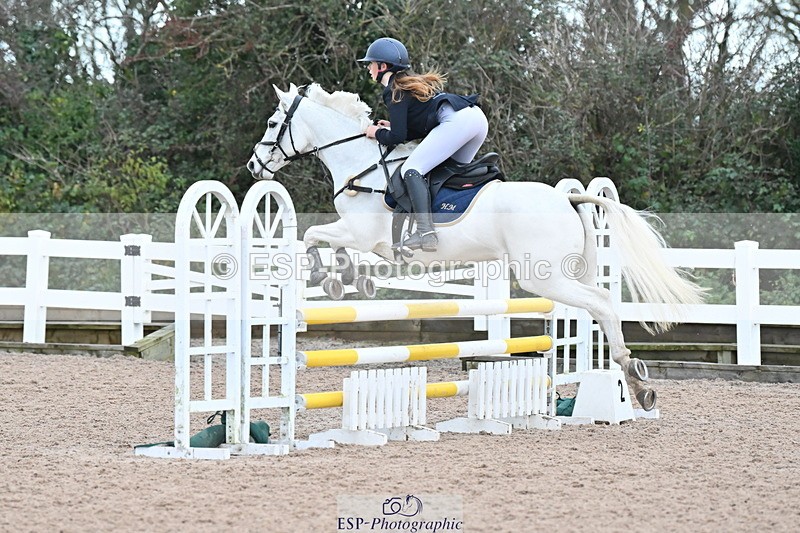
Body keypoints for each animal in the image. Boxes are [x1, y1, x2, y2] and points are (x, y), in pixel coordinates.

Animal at [247, 83, 705, 411]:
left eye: (271, 123)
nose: (254, 165)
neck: (360, 163)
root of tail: (570, 198)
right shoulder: (363, 239)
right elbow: (325, 242)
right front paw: (347, 276)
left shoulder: (362, 235)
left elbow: (312, 236)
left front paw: (330, 275)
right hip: (574, 270)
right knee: (601, 304)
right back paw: (636, 384)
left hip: (545, 279)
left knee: (602, 304)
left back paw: (632, 377)